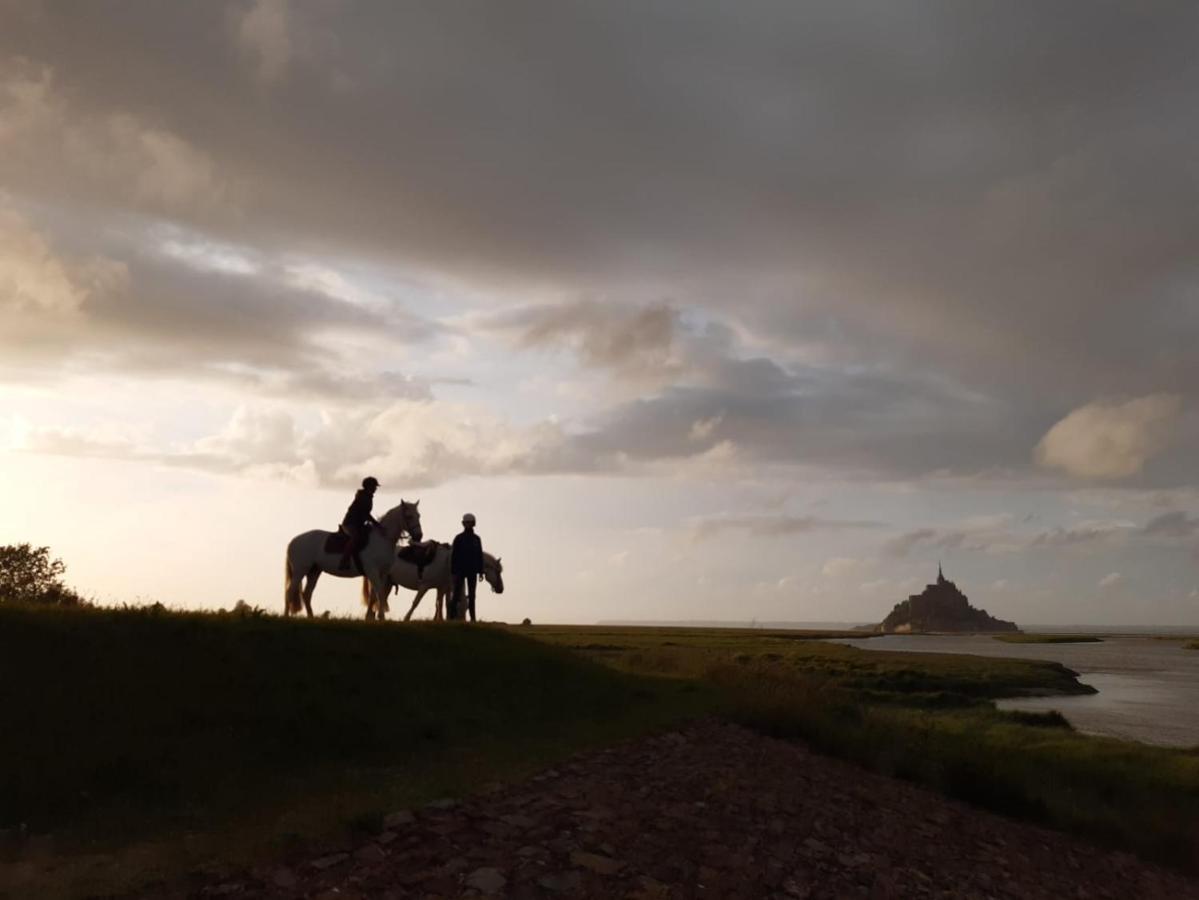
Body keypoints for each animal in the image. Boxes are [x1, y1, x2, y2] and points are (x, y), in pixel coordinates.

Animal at [284, 500, 424, 618]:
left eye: (418, 515)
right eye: (409, 516)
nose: (419, 536)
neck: (381, 539)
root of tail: (293, 541)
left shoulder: (382, 573)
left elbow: (375, 595)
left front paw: (371, 617)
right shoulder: (373, 571)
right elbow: (379, 593)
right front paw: (381, 617)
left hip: (314, 571)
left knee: (307, 594)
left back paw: (311, 617)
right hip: (300, 571)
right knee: (290, 591)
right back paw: (286, 616)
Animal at [359, 546, 501, 623]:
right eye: (498, 571)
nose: (500, 588)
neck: (448, 562)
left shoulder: (442, 587)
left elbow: (440, 603)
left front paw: (440, 619)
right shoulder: (425, 586)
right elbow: (416, 602)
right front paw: (406, 618)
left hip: (388, 582)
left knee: (379, 598)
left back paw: (374, 617)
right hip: (381, 580)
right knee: (375, 597)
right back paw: (370, 617)